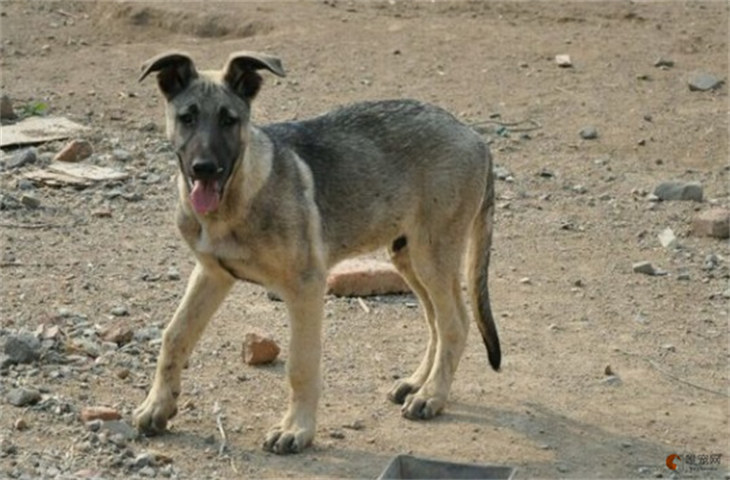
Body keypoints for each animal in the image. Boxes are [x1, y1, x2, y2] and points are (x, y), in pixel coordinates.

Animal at [135, 51, 500, 454]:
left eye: (229, 120)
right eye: (187, 117)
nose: (204, 169)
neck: (236, 199)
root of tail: (474, 136)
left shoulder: (306, 286)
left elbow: (301, 364)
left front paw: (297, 429)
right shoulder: (211, 274)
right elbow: (175, 335)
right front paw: (158, 406)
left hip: (432, 254)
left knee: (455, 322)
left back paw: (432, 395)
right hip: (406, 255)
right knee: (435, 320)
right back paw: (418, 382)